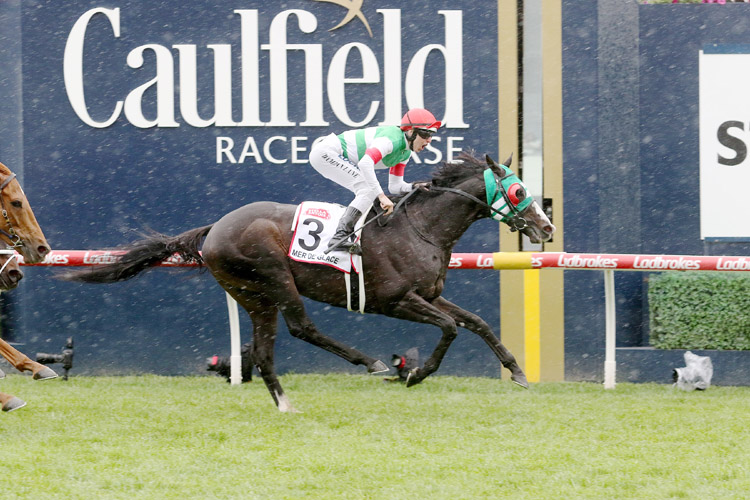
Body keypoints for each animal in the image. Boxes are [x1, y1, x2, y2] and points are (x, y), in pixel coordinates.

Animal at [66, 152, 560, 410]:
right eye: (519, 190)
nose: (547, 228)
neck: (420, 228)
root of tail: (215, 227)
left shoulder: (430, 294)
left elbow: (476, 322)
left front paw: (517, 372)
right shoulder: (396, 300)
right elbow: (451, 328)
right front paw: (415, 374)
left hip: (251, 294)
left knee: (267, 346)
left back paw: (282, 397)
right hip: (272, 278)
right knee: (301, 328)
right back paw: (373, 363)